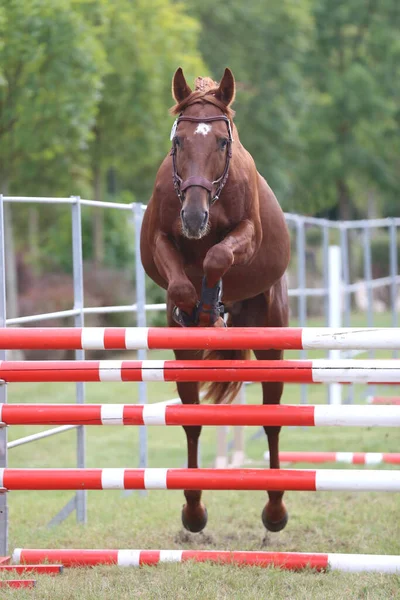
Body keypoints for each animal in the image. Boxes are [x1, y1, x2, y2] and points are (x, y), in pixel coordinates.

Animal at [141, 69, 290, 536]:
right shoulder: (160, 240)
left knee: (273, 416)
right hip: (185, 361)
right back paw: (193, 511)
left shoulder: (246, 234)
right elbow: (183, 285)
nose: (193, 217)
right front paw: (198, 310)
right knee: (191, 420)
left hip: (272, 338)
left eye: (222, 143)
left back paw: (275, 511)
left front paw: (211, 302)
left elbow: (218, 256)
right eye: (178, 142)